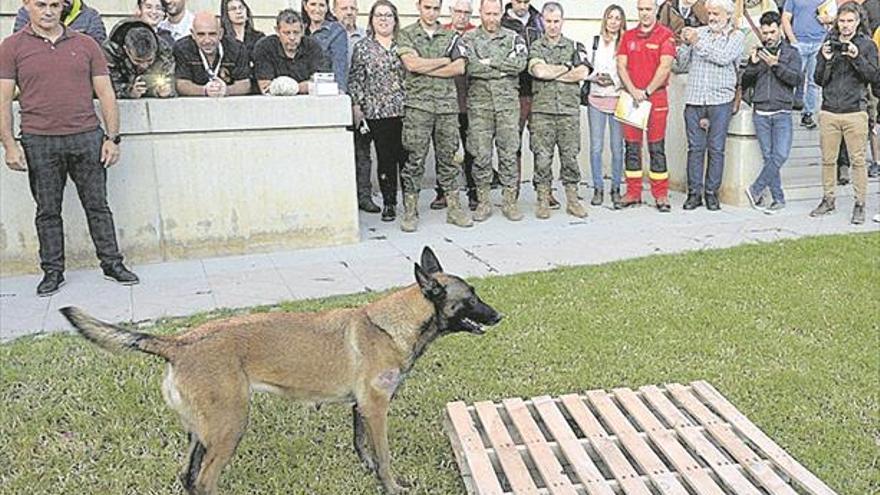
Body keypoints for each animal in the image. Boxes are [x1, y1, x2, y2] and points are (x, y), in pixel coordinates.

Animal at [60, 248, 502, 495]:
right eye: (472, 297)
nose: (499, 316)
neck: (392, 325)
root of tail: (179, 342)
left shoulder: (360, 408)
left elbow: (363, 447)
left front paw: (369, 473)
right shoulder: (377, 410)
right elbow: (385, 457)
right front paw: (392, 487)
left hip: (201, 432)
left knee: (188, 477)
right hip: (230, 426)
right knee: (204, 480)